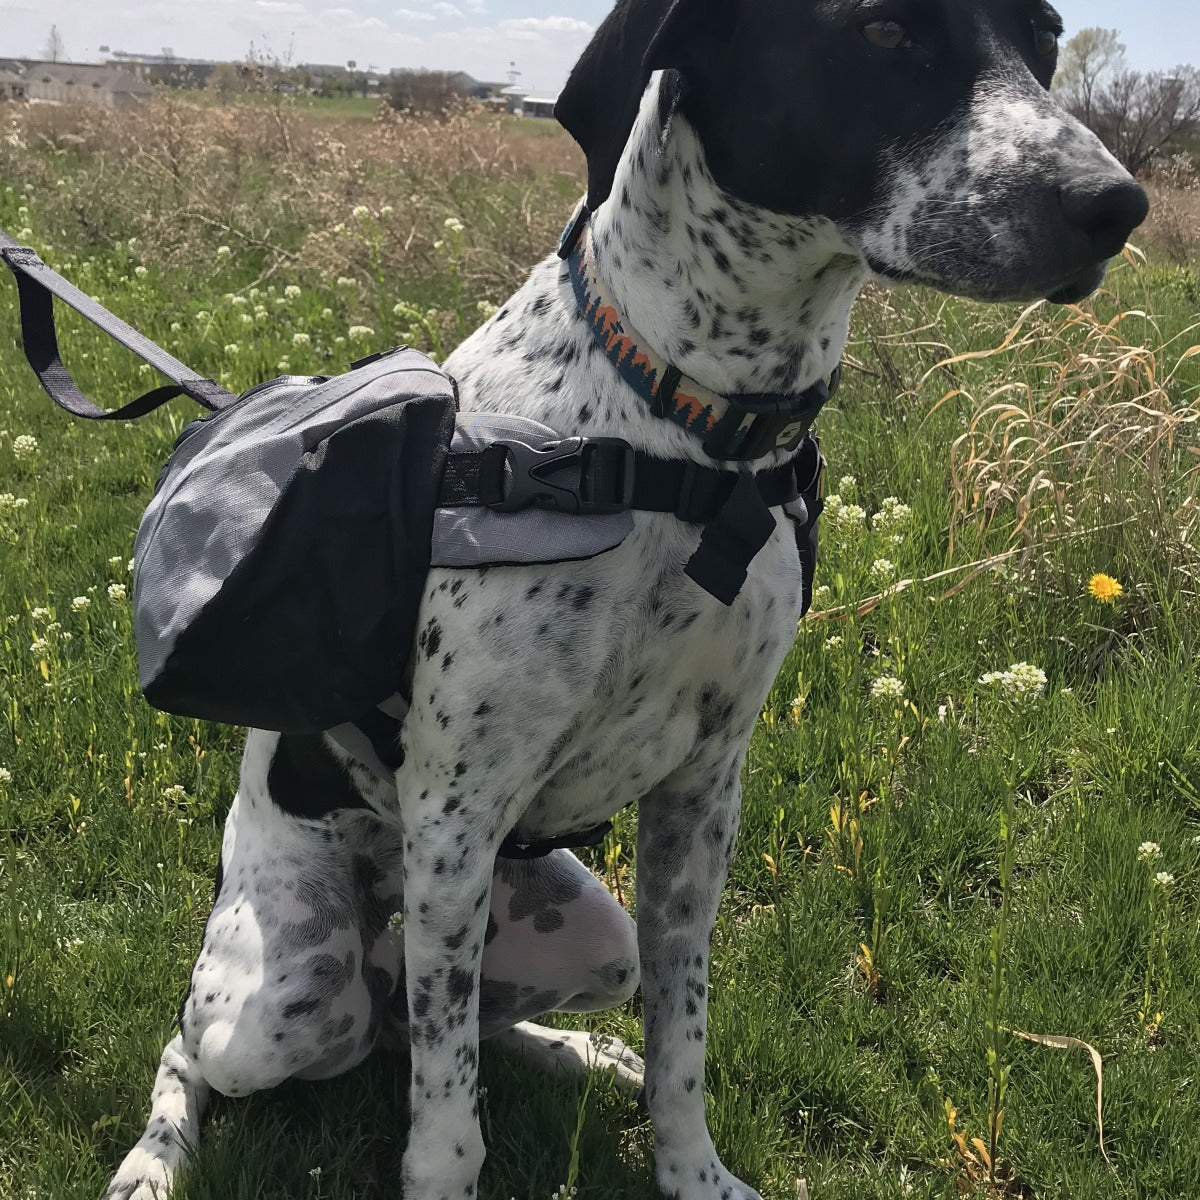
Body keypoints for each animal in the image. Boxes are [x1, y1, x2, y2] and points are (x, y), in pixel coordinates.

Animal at [108, 2, 1147, 1200]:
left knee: (454, 1026)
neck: (687, 442)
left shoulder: (703, 797)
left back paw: (583, 1053)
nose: (1117, 206)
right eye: (882, 30)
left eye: (1048, 37)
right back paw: (154, 1157)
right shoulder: (458, 812)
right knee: (222, 1045)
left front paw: (690, 1170)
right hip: (284, 1001)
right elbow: (447, 1128)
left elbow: (679, 1040)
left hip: (583, 936)